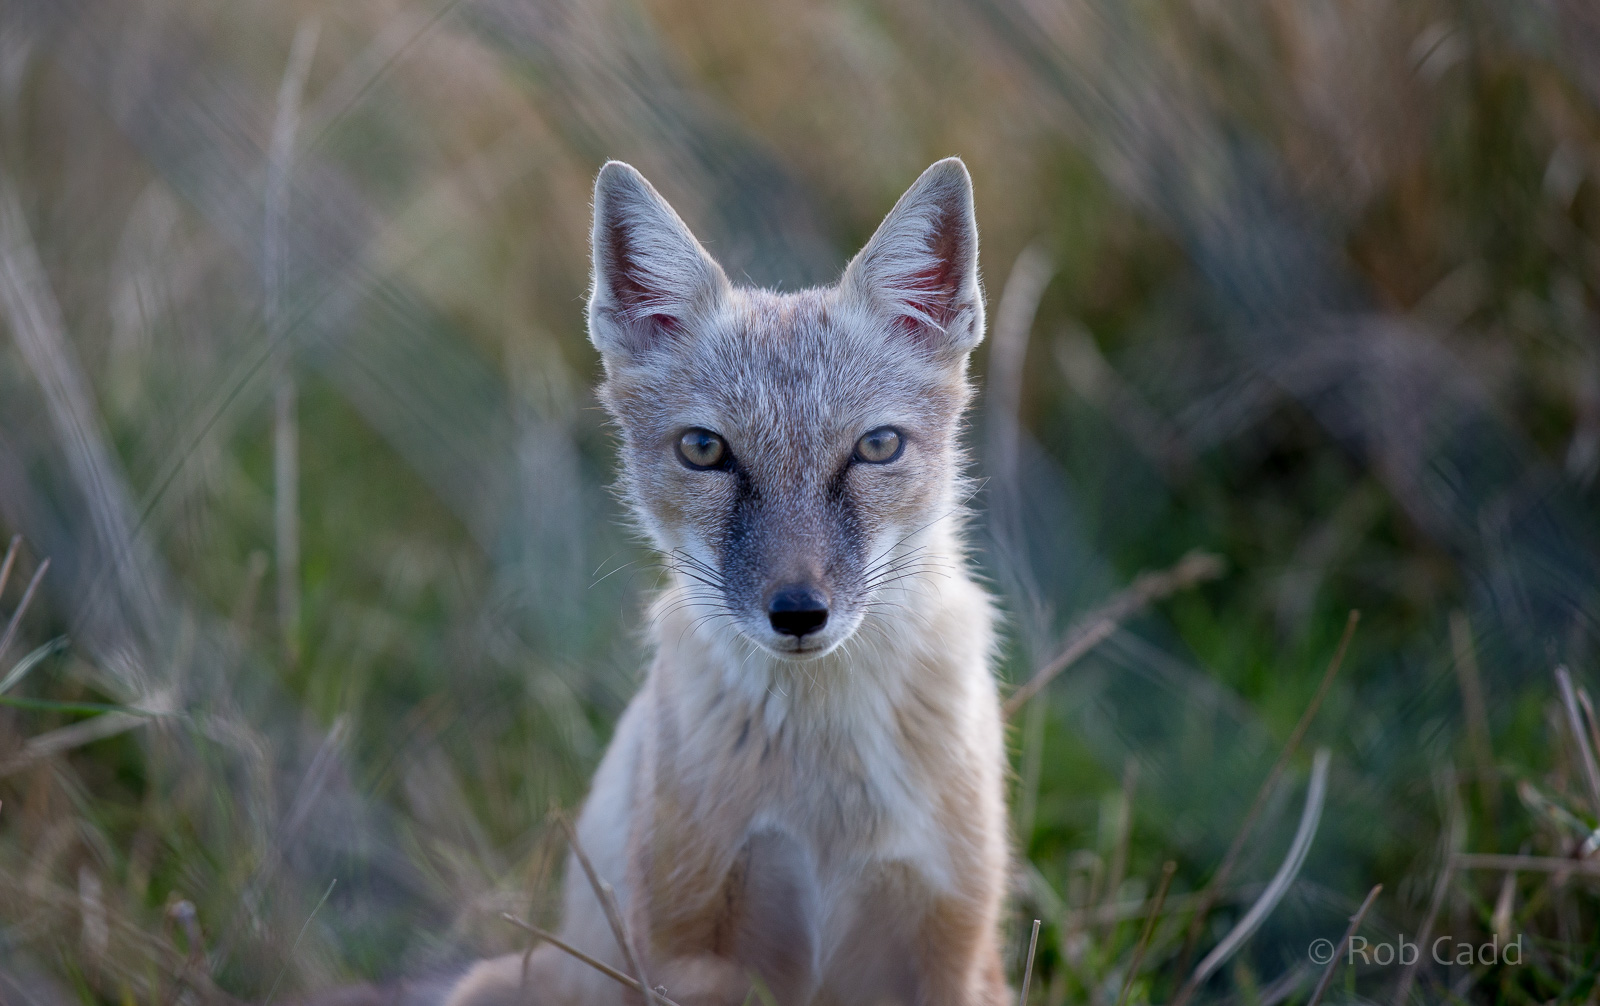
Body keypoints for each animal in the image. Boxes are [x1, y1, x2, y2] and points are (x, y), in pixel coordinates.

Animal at [446, 157, 1009, 1005]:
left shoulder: (954, 944)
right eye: (705, 450)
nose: (799, 612)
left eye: (877, 447)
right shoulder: (687, 946)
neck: (825, 802)